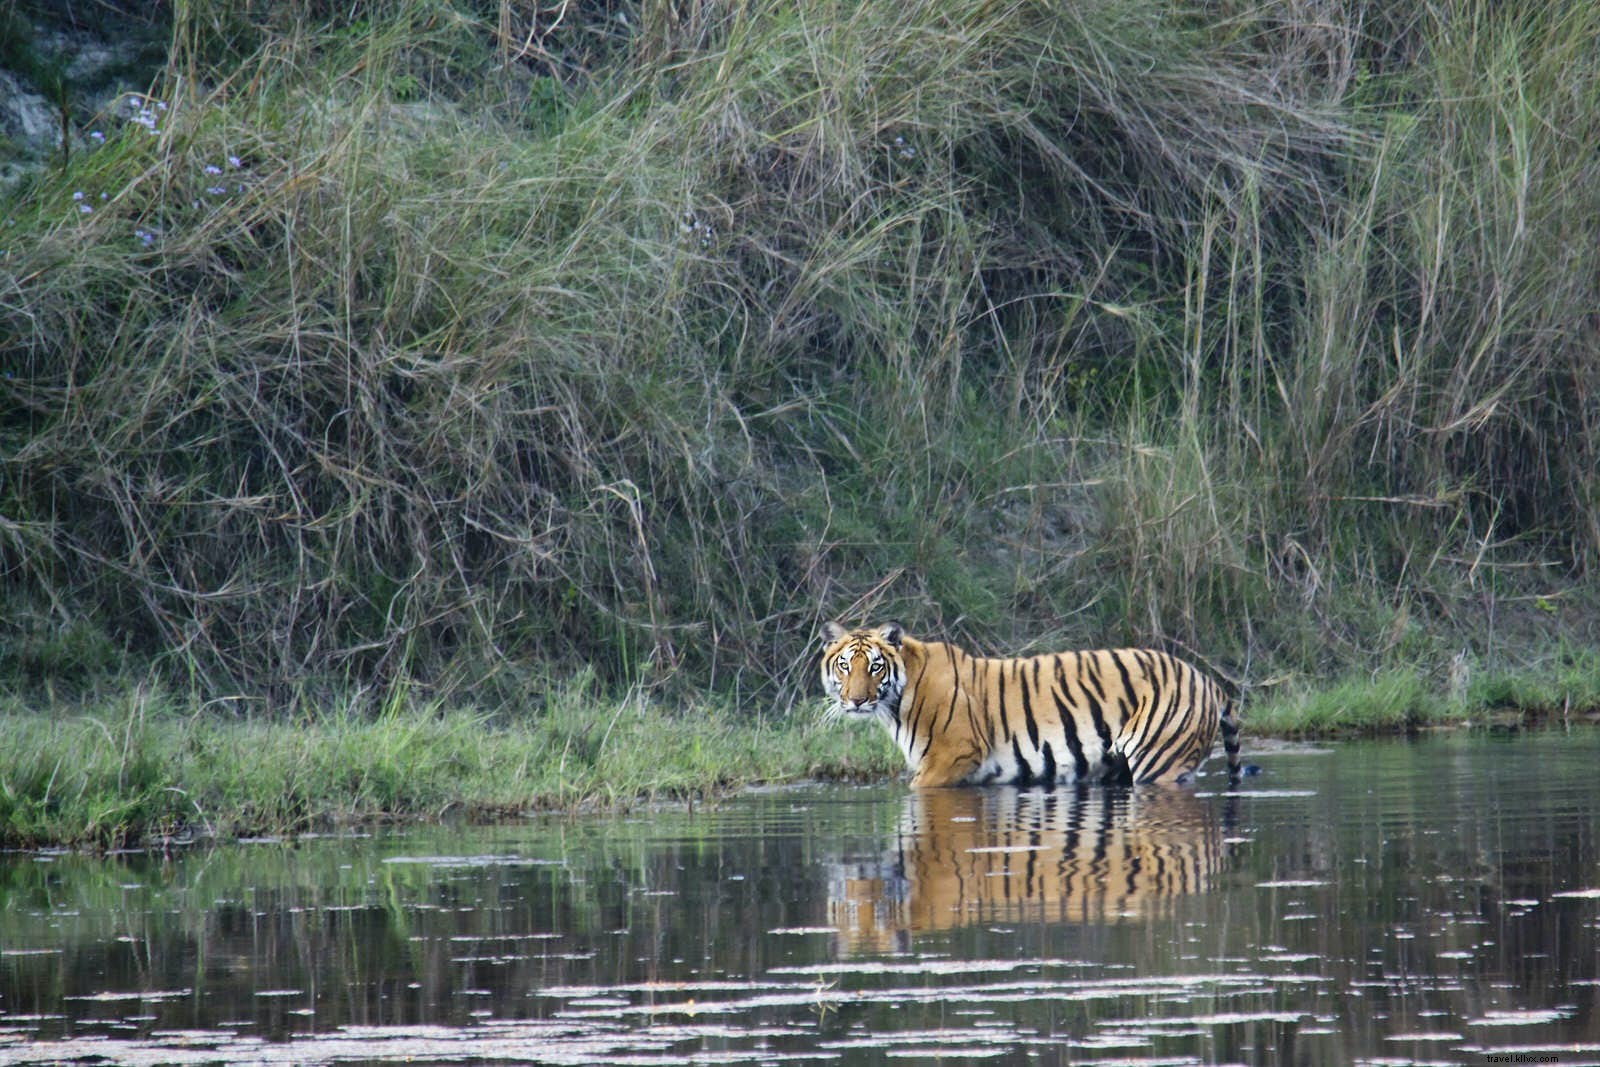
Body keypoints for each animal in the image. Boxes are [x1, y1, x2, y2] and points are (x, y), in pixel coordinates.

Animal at [819, 621, 1243, 787]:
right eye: (845, 665)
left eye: (875, 667)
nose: (856, 700)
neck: (895, 702)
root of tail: (1207, 680)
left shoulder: (950, 756)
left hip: (1160, 762)